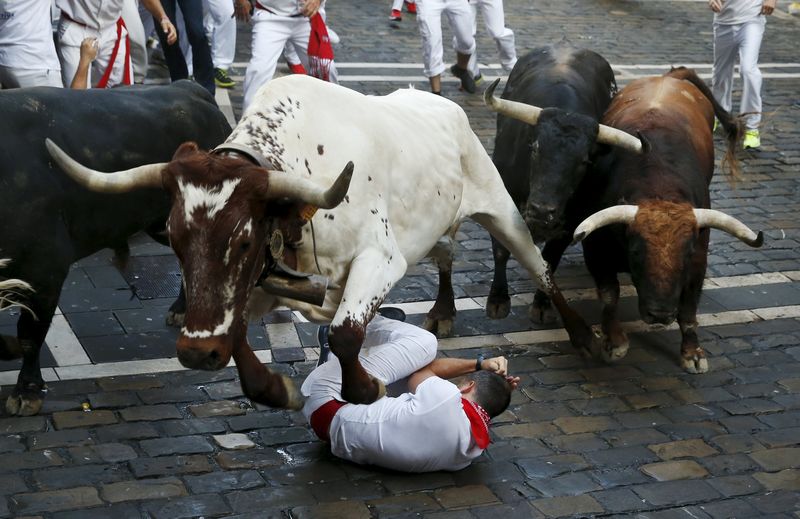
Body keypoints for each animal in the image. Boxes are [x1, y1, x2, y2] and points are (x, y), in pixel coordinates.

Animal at [43, 75, 592, 410]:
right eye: (175, 240)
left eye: (244, 241)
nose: (197, 354)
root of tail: (443, 104)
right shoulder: (261, 285)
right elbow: (239, 334)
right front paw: (274, 388)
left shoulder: (379, 258)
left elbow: (348, 333)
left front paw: (366, 385)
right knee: (446, 254)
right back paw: (441, 310)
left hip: (502, 209)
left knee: (538, 265)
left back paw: (585, 335)